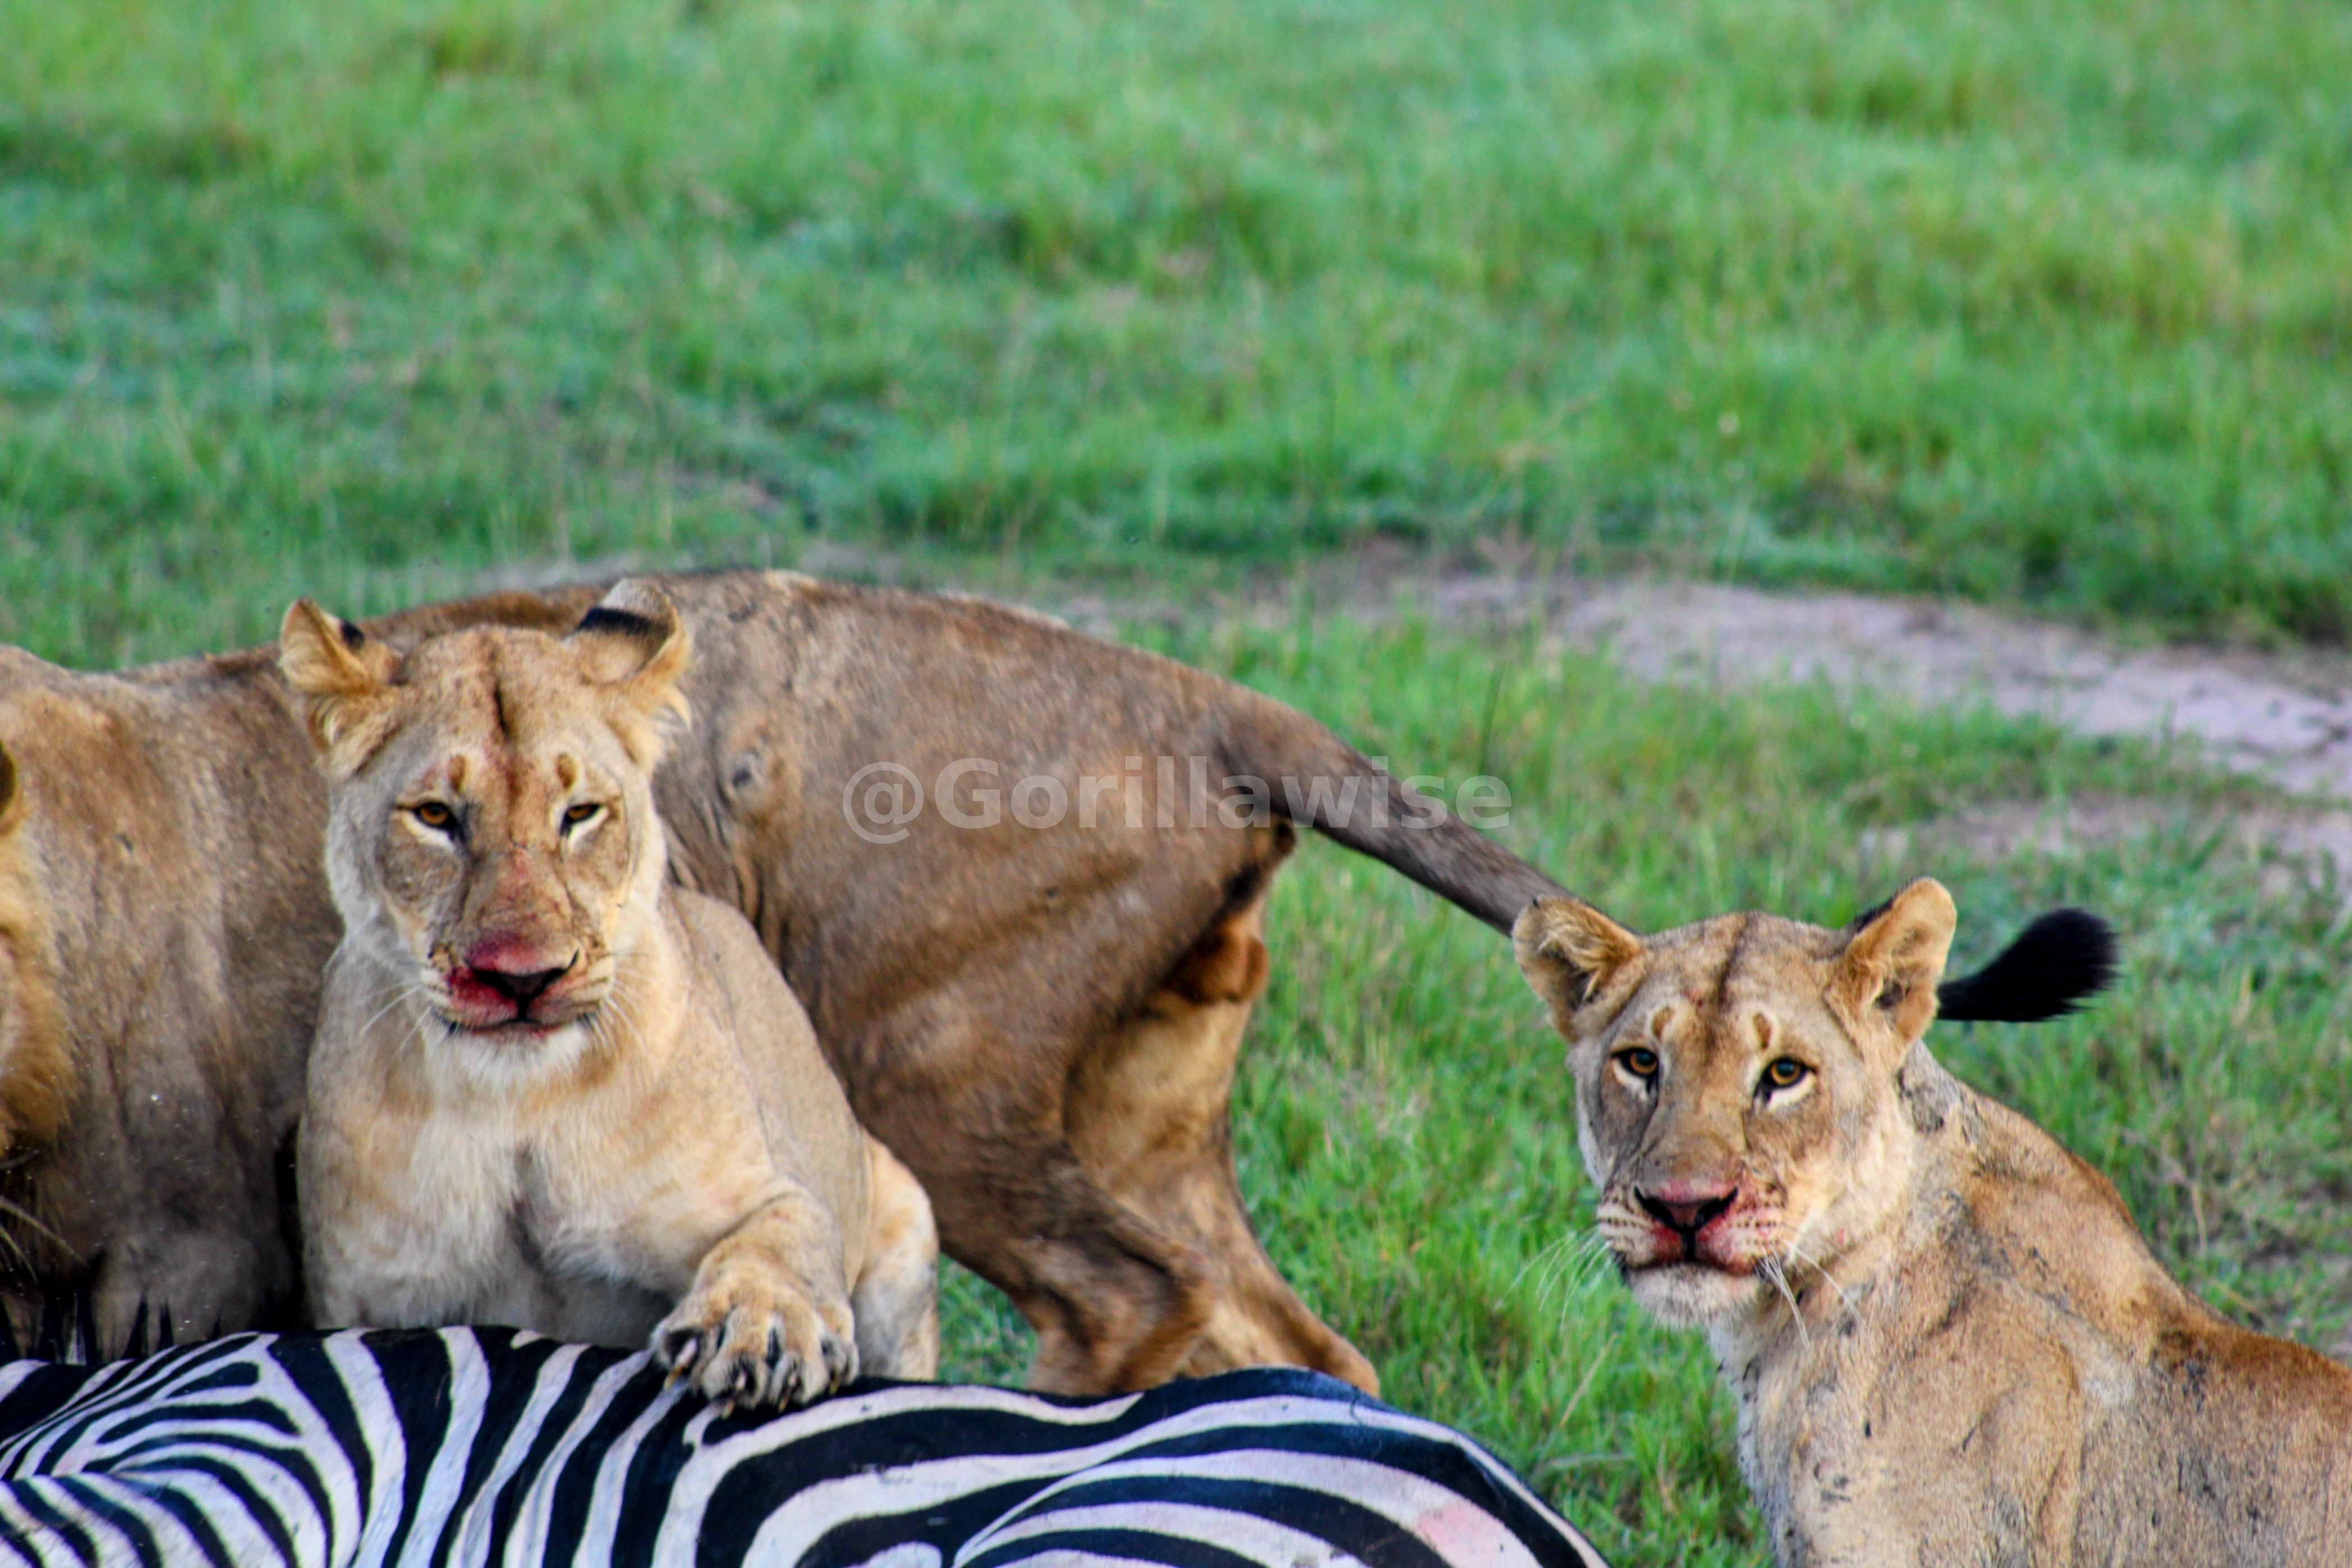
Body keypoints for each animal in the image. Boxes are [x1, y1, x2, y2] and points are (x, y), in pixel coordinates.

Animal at [284, 585, 937, 1402]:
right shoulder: (359, 1302)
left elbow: (781, 1237)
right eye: (435, 815)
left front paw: (755, 1329)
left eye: (580, 813)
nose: (523, 976)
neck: (519, 1109)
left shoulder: (776, 1188)